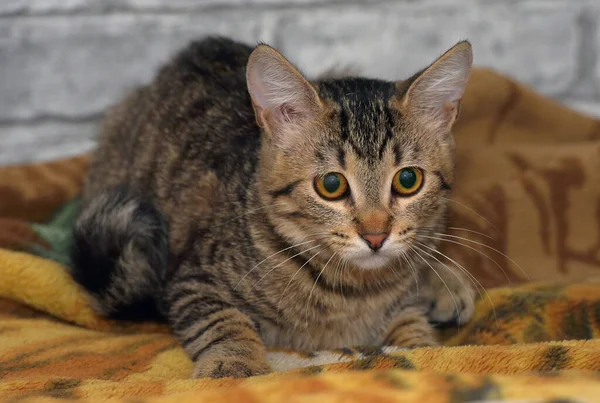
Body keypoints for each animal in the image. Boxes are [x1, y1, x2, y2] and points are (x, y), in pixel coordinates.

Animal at [69, 36, 474, 380]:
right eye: (331, 185)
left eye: (408, 180)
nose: (376, 236)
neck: (353, 292)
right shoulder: (192, 279)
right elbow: (222, 321)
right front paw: (235, 365)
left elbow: (412, 328)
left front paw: (423, 347)